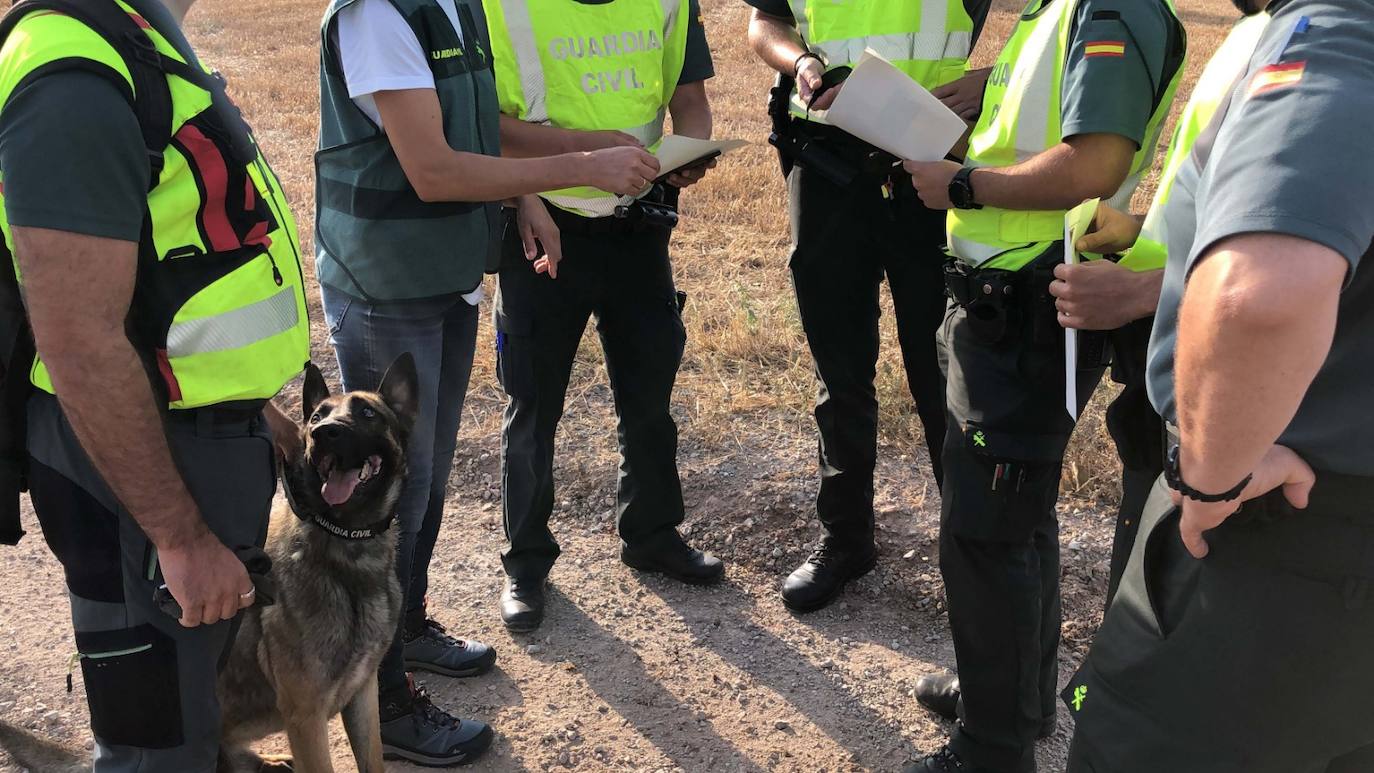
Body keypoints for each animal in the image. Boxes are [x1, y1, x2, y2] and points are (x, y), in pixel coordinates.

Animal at [214, 356, 414, 773]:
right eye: (317, 416)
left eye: (368, 412)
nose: (324, 433)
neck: (348, 551)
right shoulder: (306, 718)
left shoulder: (363, 693)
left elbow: (373, 759)